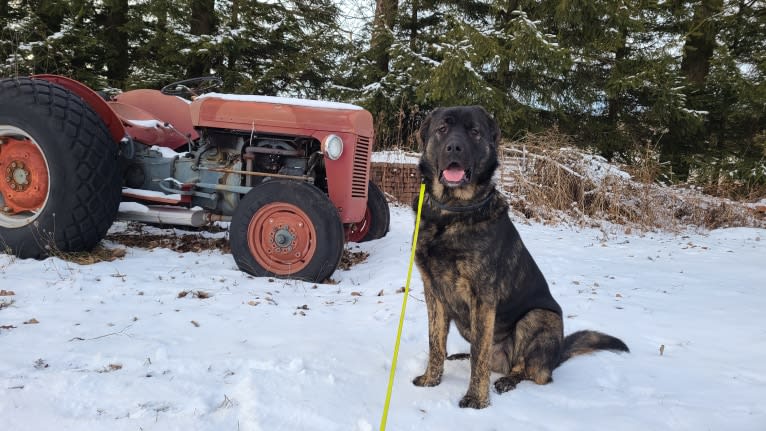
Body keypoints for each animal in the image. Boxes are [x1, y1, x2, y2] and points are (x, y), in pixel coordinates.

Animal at [414, 106, 632, 410]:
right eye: (442, 129)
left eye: (474, 132)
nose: (454, 147)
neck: (451, 212)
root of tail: (556, 357)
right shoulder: (433, 292)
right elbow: (436, 342)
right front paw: (431, 379)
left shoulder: (482, 297)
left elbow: (480, 355)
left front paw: (477, 399)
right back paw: (462, 357)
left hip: (538, 317)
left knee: (532, 371)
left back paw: (509, 379)